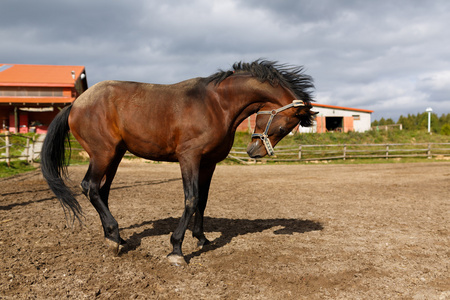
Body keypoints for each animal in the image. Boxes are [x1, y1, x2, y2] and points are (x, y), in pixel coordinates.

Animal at [40, 59, 314, 264]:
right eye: (285, 125)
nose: (254, 151)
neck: (217, 104)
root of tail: (77, 103)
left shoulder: (209, 163)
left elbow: (203, 200)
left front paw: (201, 238)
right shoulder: (189, 158)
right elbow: (191, 199)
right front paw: (176, 249)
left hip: (114, 156)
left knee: (102, 191)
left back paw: (114, 237)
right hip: (102, 154)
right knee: (90, 187)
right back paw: (114, 237)